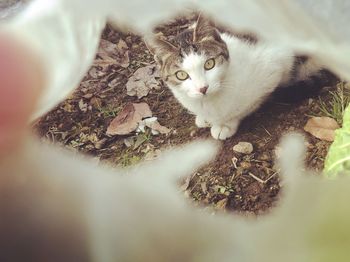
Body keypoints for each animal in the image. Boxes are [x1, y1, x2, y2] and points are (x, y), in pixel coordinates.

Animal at [152, 14, 324, 139]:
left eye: (209, 64)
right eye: (181, 75)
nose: (203, 88)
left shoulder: (273, 67)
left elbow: (244, 107)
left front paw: (225, 125)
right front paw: (204, 118)